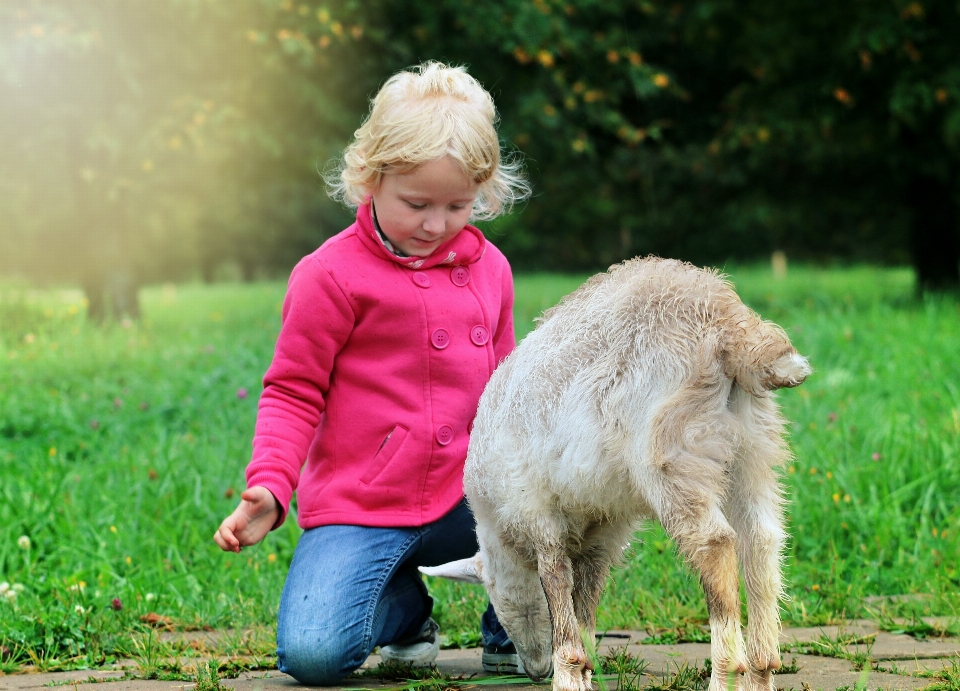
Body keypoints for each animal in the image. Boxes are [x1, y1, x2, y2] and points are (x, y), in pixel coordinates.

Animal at [426, 256, 808, 691]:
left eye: (496, 599)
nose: (536, 669)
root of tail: (727, 320)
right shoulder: (604, 524)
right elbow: (587, 594)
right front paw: (585, 668)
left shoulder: (534, 507)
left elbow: (556, 581)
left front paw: (567, 671)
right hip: (751, 447)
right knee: (761, 539)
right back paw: (761, 667)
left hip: (671, 451)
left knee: (715, 543)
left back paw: (726, 673)